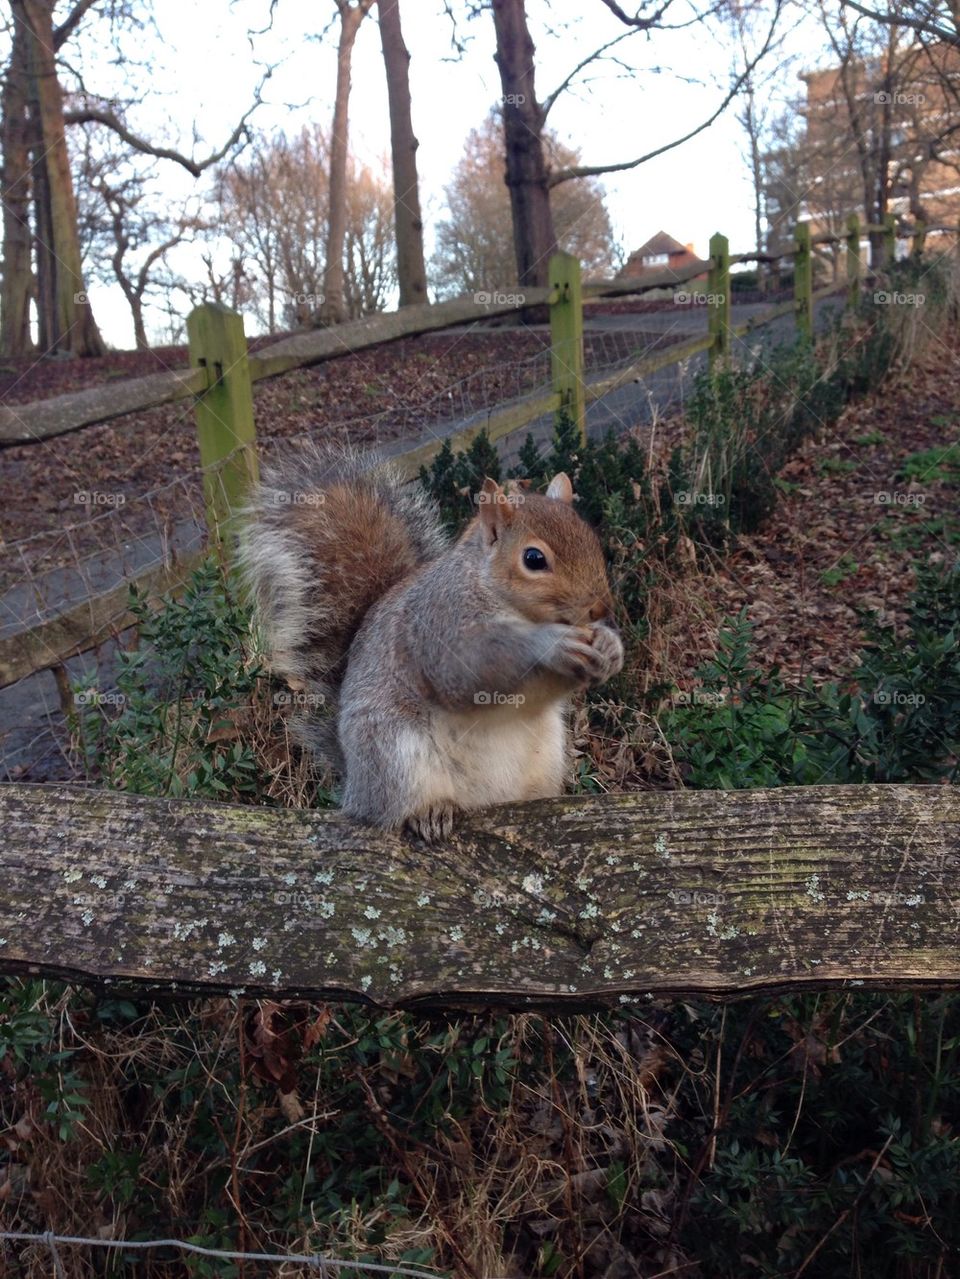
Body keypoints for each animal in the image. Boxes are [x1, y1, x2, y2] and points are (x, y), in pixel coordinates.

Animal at [241, 445, 623, 844]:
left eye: (590, 537)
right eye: (534, 559)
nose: (601, 608)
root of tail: (355, 789)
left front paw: (610, 647)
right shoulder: (439, 626)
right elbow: (471, 670)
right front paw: (551, 644)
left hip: (546, 751)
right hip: (396, 754)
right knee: (397, 807)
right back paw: (430, 812)